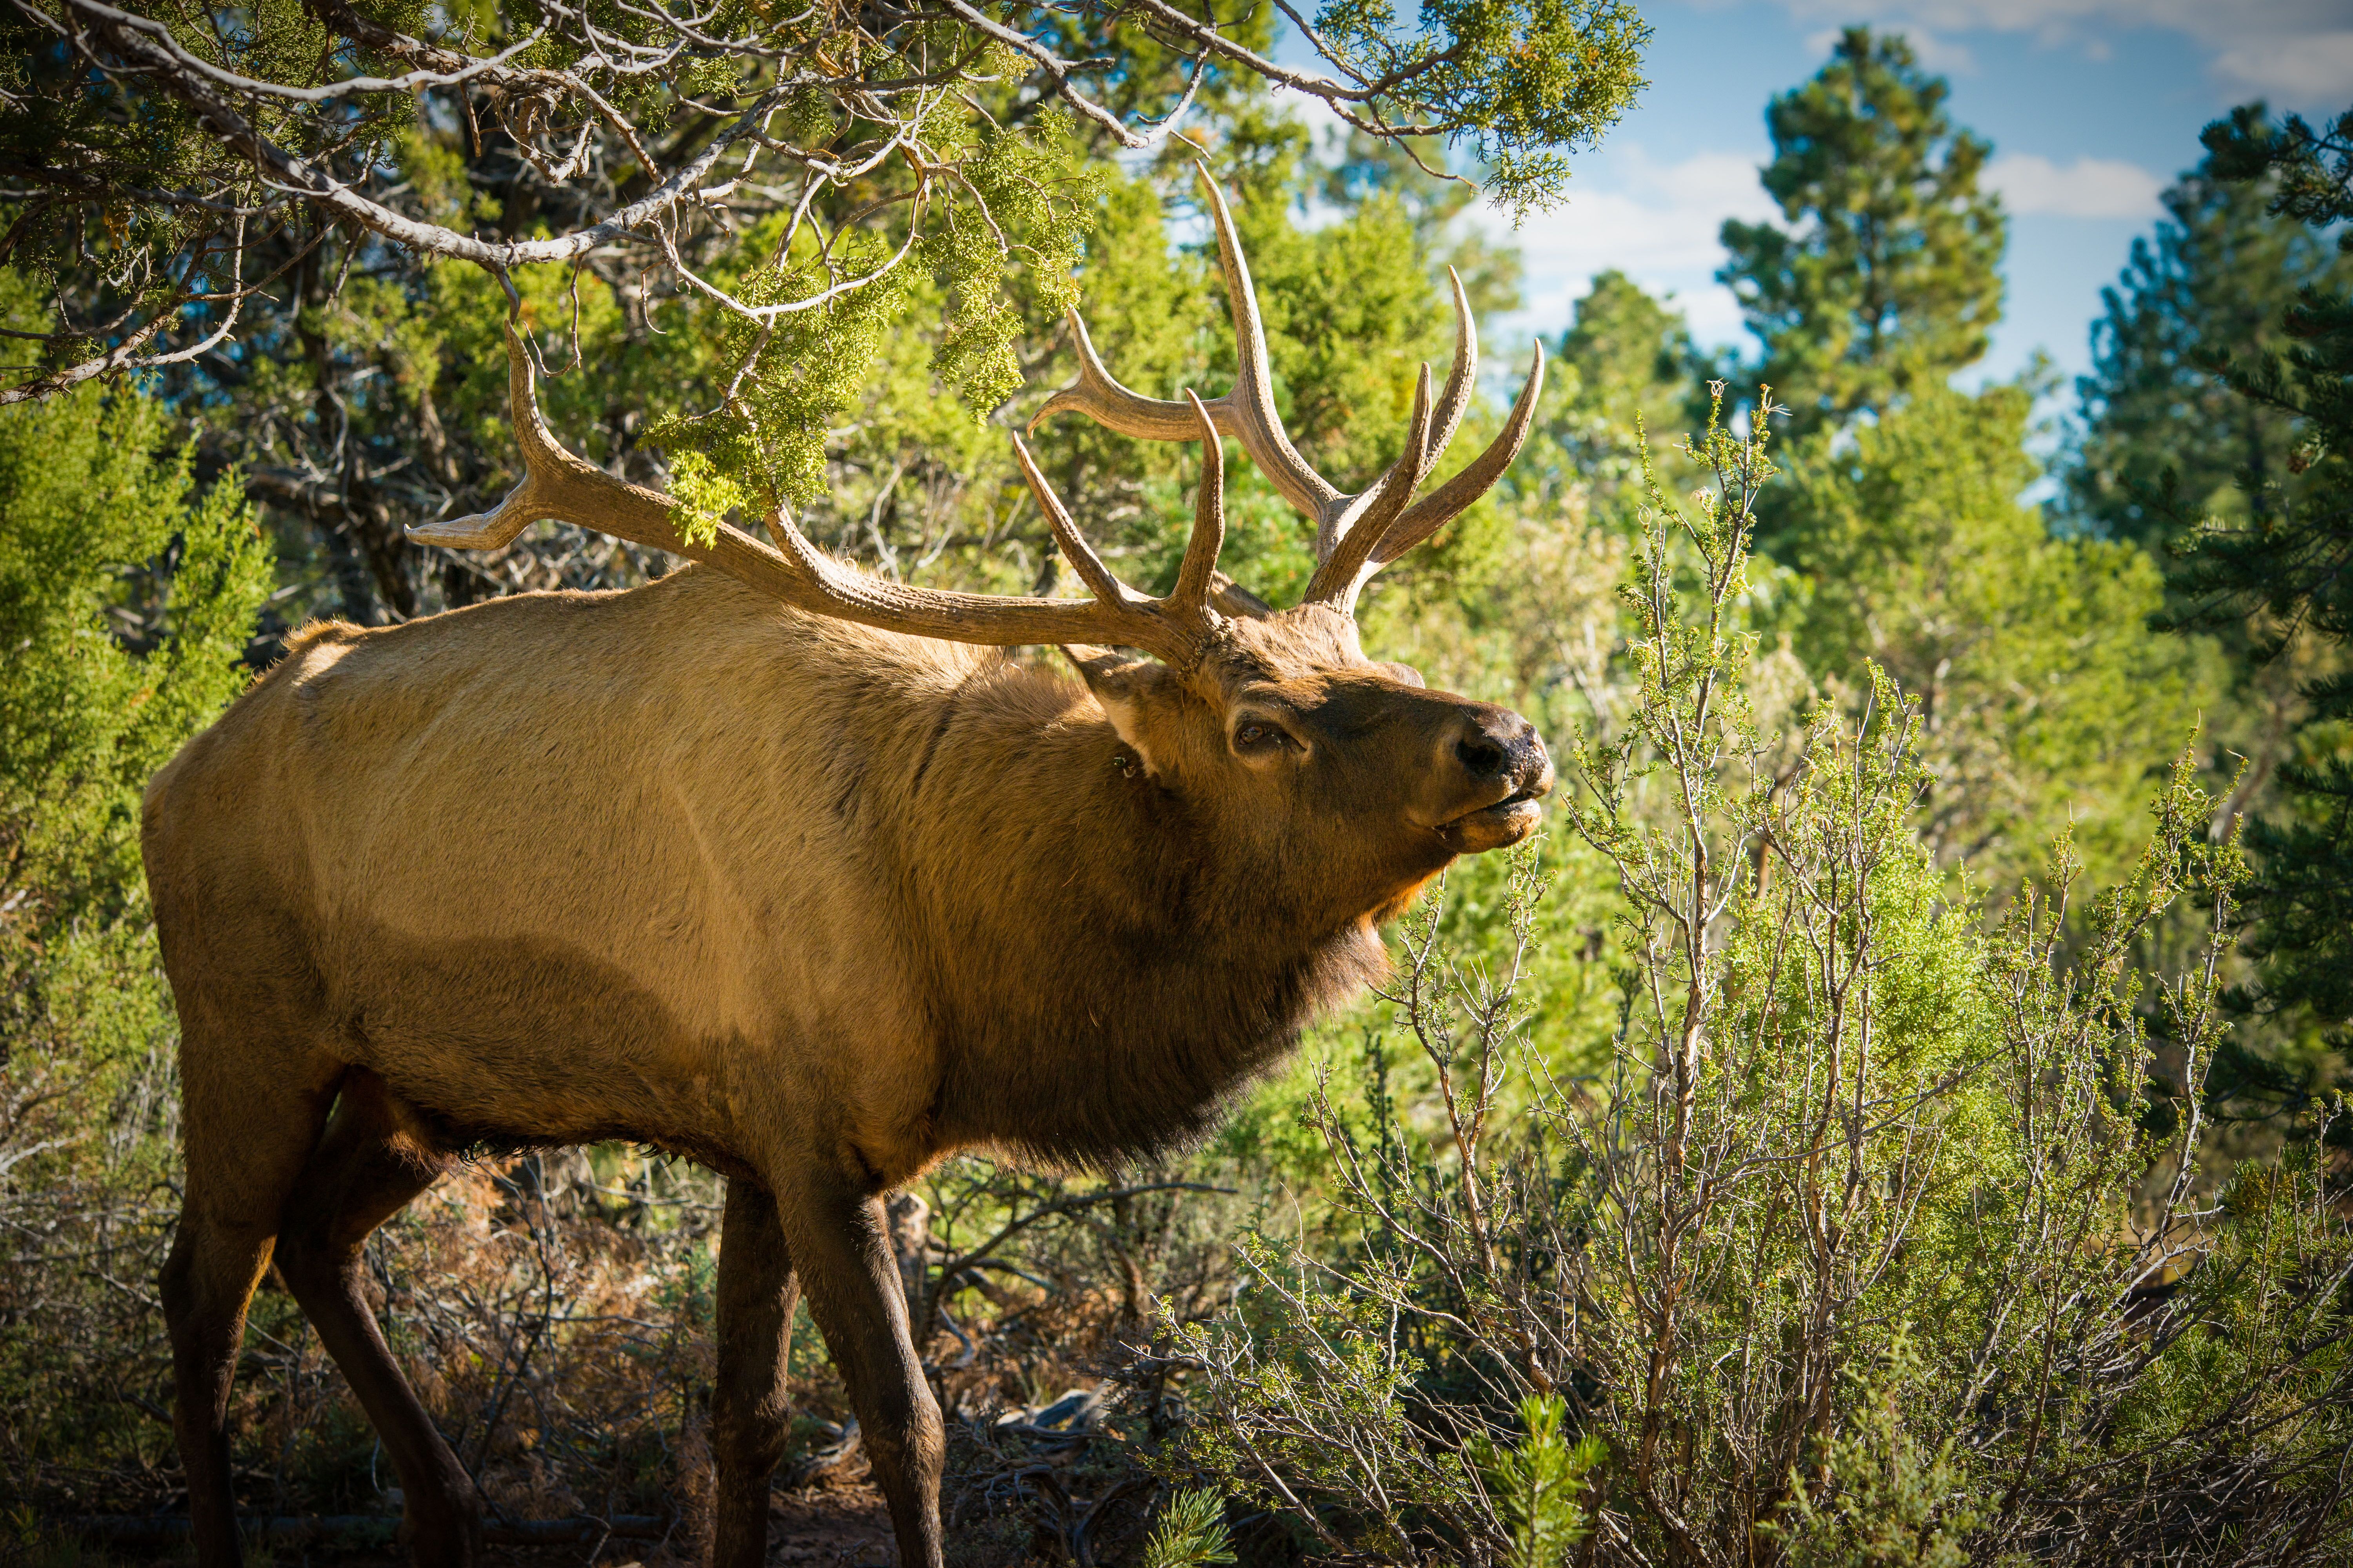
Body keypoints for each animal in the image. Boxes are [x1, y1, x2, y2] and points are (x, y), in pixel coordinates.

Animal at [142, 165, 1544, 1553]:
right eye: (1259, 726)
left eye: (1366, 649)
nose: (1508, 742)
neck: (974, 944)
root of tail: (166, 778)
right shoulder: (812, 1131)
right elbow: (903, 1423)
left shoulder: (752, 1139)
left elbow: (744, 1420)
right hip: (245, 1030)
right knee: (202, 1288)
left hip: (412, 1092)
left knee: (312, 1244)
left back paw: (446, 1502)